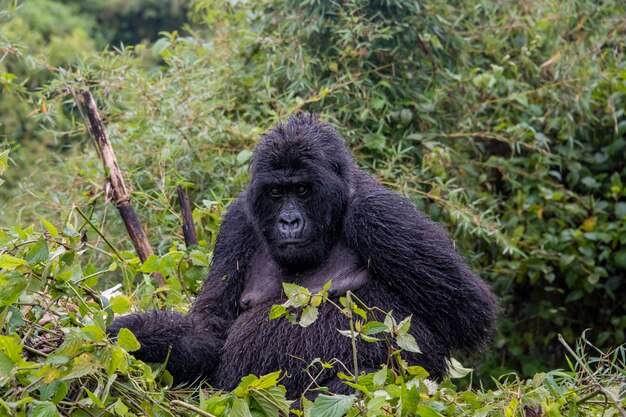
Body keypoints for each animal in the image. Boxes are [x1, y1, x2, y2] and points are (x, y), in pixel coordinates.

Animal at [108, 113, 498, 396]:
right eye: (276, 192)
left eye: (301, 189)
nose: (289, 221)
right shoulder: (237, 223)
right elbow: (213, 327)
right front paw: (132, 333)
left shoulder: (378, 213)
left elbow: (466, 315)